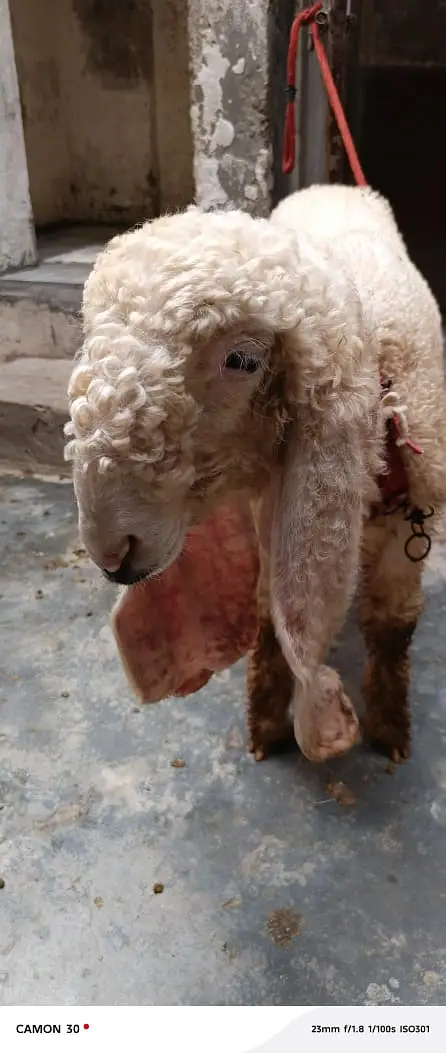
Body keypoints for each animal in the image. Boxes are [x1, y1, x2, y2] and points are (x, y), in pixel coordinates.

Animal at [65, 184, 446, 766]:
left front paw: (389, 729)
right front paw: (265, 724)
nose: (113, 551)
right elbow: (270, 618)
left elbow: (391, 625)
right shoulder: (272, 503)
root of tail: (332, 185)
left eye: (242, 361)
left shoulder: (411, 526)